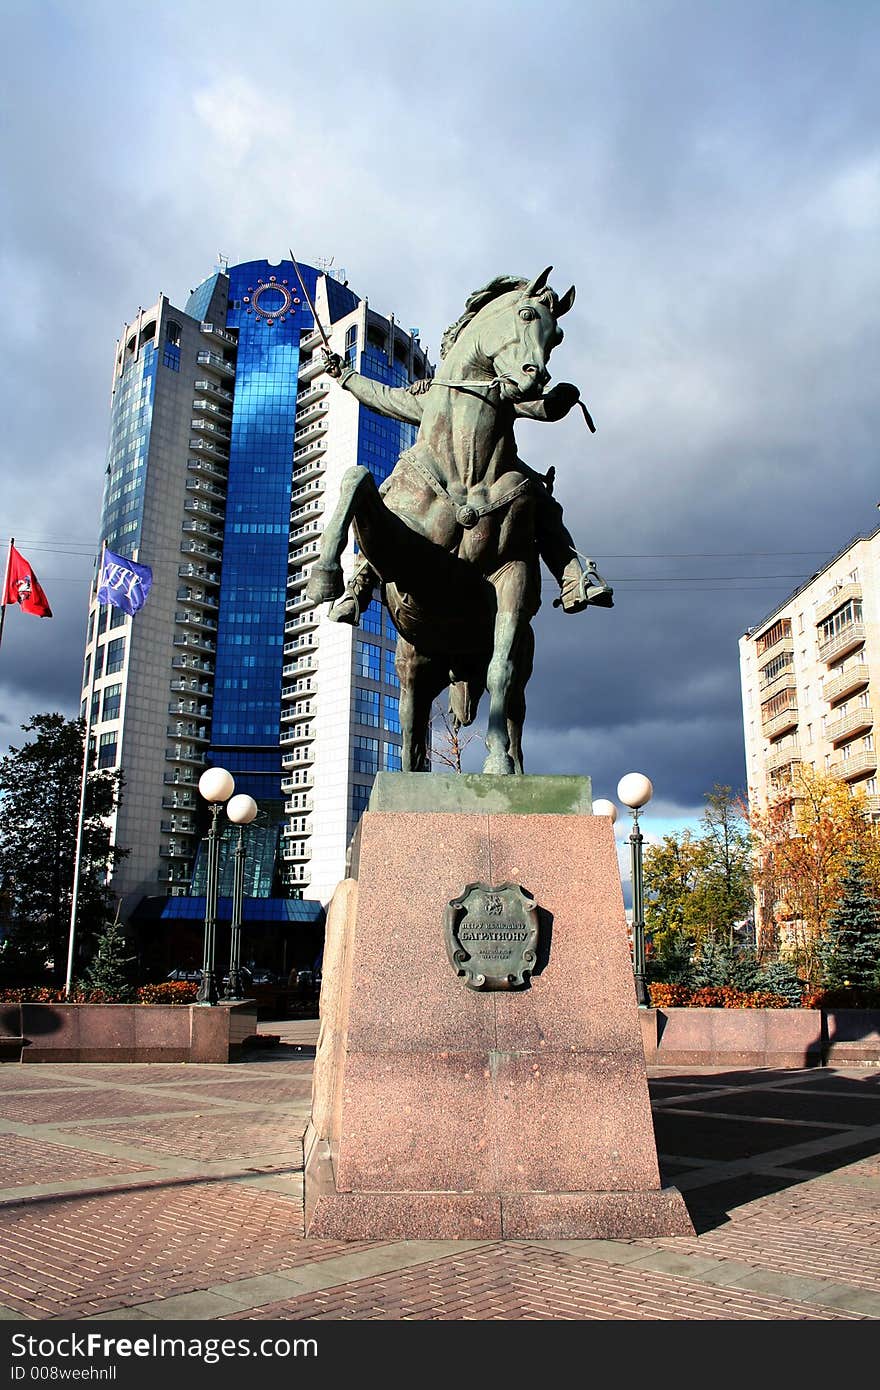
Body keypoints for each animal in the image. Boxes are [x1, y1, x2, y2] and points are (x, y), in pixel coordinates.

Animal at [305, 265, 606, 778]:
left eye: (559, 335)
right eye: (527, 314)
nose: (537, 379)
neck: (466, 463)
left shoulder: (512, 575)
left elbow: (500, 670)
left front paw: (497, 763)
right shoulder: (409, 560)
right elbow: (356, 476)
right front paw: (327, 579)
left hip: (517, 668)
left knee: (514, 708)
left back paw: (513, 764)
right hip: (412, 666)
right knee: (411, 727)